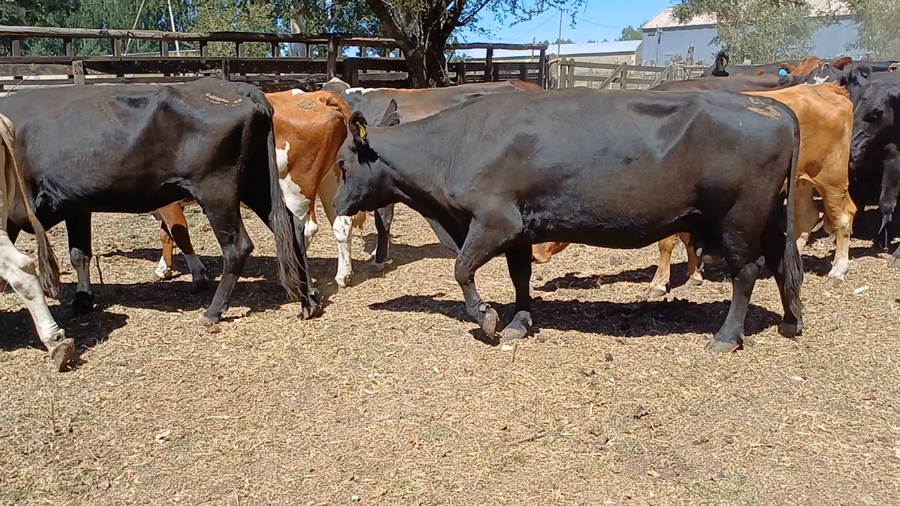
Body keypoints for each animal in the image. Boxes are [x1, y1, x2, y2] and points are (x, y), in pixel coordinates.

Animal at [2, 79, 319, 324]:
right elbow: (80, 254)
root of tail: (240, 88)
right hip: (256, 181)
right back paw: (309, 299)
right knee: (291, 226)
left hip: (217, 188)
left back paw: (213, 311)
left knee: (237, 246)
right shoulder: (77, 204)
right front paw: (82, 300)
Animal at [334, 89, 804, 353]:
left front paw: (486, 318)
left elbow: (461, 269)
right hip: (767, 216)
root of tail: (772, 106)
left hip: (739, 218)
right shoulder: (522, 229)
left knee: (748, 272)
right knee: (783, 264)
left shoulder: (495, 221)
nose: (336, 204)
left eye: (341, 163)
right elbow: (520, 276)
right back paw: (791, 319)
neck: (453, 146)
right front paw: (520, 321)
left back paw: (726, 336)